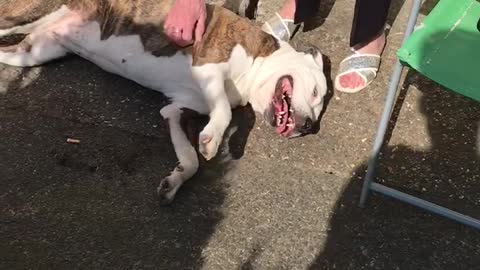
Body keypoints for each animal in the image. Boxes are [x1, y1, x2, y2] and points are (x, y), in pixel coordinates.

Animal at [0, 0, 328, 202]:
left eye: (320, 105)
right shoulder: (208, 65)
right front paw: (215, 139)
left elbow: (190, 159)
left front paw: (176, 181)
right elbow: (223, 111)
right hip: (31, 15)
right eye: (316, 93)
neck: (257, 61)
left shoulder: (178, 110)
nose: (310, 126)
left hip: (34, 54)